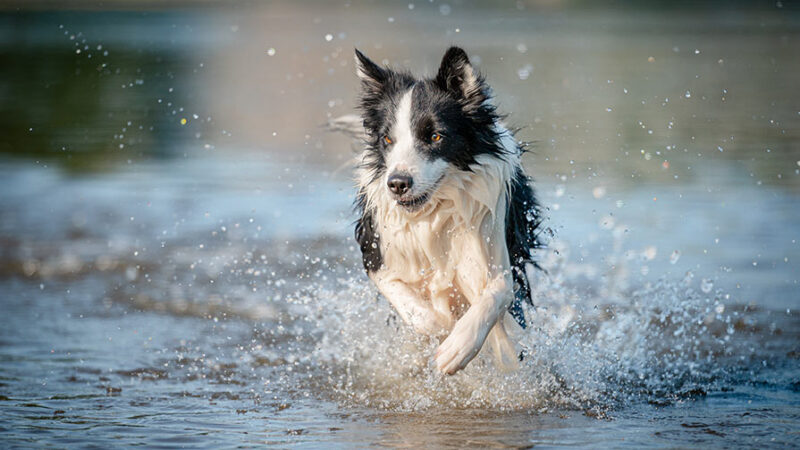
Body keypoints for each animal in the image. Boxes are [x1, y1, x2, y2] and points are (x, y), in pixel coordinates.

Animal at [346, 46, 540, 376]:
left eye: (435, 136)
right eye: (388, 139)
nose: (397, 184)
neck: (435, 210)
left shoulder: (498, 252)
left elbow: (498, 292)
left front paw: (457, 347)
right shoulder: (375, 251)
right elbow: (410, 303)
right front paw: (439, 328)